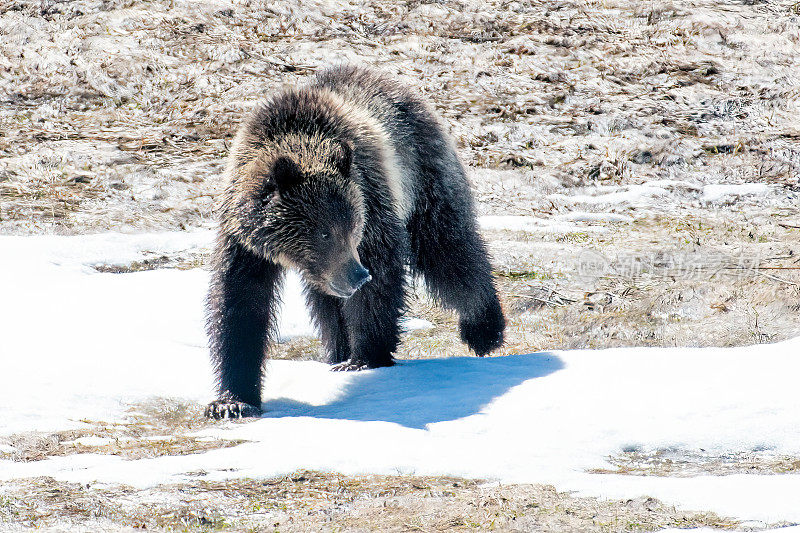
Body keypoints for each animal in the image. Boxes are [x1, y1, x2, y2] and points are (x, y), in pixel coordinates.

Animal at [206, 64, 506, 418]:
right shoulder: (244, 241)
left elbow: (381, 275)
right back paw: (337, 351)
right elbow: (239, 303)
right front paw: (232, 401)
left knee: (448, 249)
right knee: (326, 306)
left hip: (423, 175)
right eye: (324, 232)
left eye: (352, 227)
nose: (357, 275)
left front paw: (365, 357)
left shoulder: (370, 197)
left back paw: (483, 329)